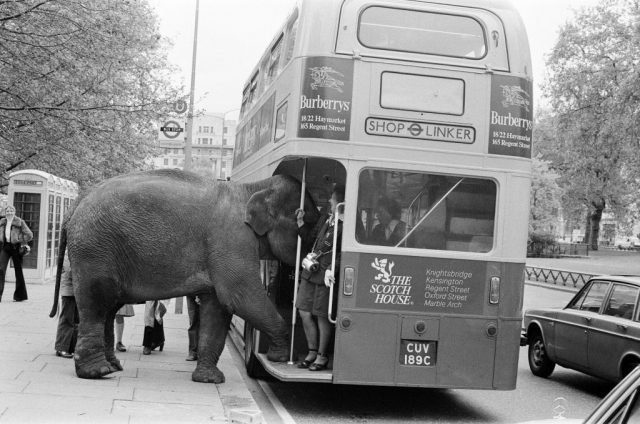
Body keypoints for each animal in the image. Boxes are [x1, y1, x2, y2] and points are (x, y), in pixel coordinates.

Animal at [50, 169, 320, 384]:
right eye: (310, 223)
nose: (313, 263)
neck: (253, 187)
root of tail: (75, 206)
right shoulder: (231, 240)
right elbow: (239, 296)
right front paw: (279, 357)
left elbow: (218, 307)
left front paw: (210, 380)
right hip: (94, 249)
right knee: (96, 303)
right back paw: (98, 372)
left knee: (108, 306)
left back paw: (113, 367)